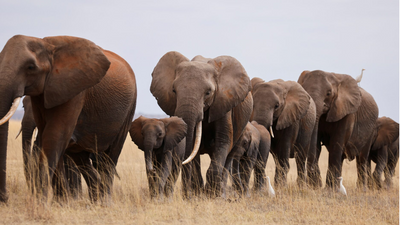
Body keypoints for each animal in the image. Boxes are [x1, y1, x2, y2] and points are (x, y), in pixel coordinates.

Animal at [0, 35, 138, 202]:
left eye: (31, 67)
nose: (5, 198)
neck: (45, 43)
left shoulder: (75, 90)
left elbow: (54, 135)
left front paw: (42, 203)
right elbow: (49, 136)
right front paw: (60, 203)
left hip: (129, 108)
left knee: (110, 157)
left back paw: (104, 202)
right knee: (81, 159)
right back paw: (95, 200)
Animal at [152, 51, 252, 198]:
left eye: (208, 92)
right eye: (174, 90)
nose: (186, 195)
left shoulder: (223, 103)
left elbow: (223, 141)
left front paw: (212, 195)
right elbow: (194, 149)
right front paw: (197, 195)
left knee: (228, 156)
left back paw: (221, 193)